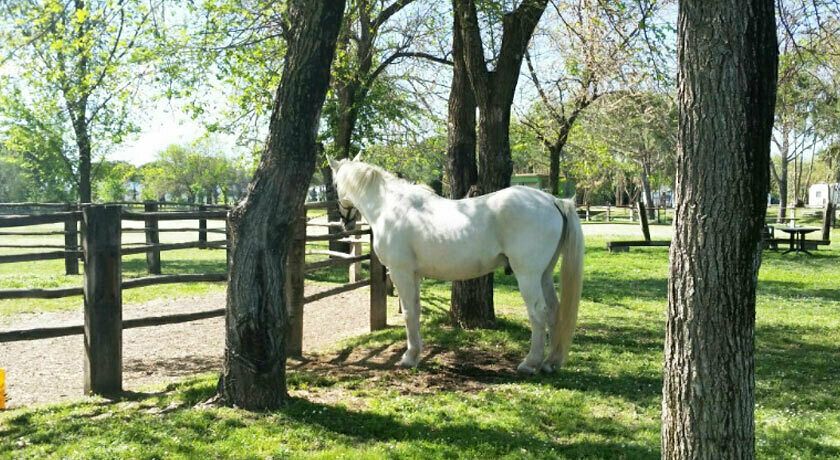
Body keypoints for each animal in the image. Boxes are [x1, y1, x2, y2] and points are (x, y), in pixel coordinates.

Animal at [330, 155, 584, 374]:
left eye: (333, 185)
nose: (345, 222)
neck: (389, 207)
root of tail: (553, 200)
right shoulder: (414, 275)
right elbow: (416, 311)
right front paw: (416, 353)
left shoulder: (401, 272)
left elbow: (409, 313)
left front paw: (409, 357)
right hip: (544, 275)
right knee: (554, 311)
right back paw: (550, 362)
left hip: (528, 275)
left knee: (538, 313)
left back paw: (530, 363)